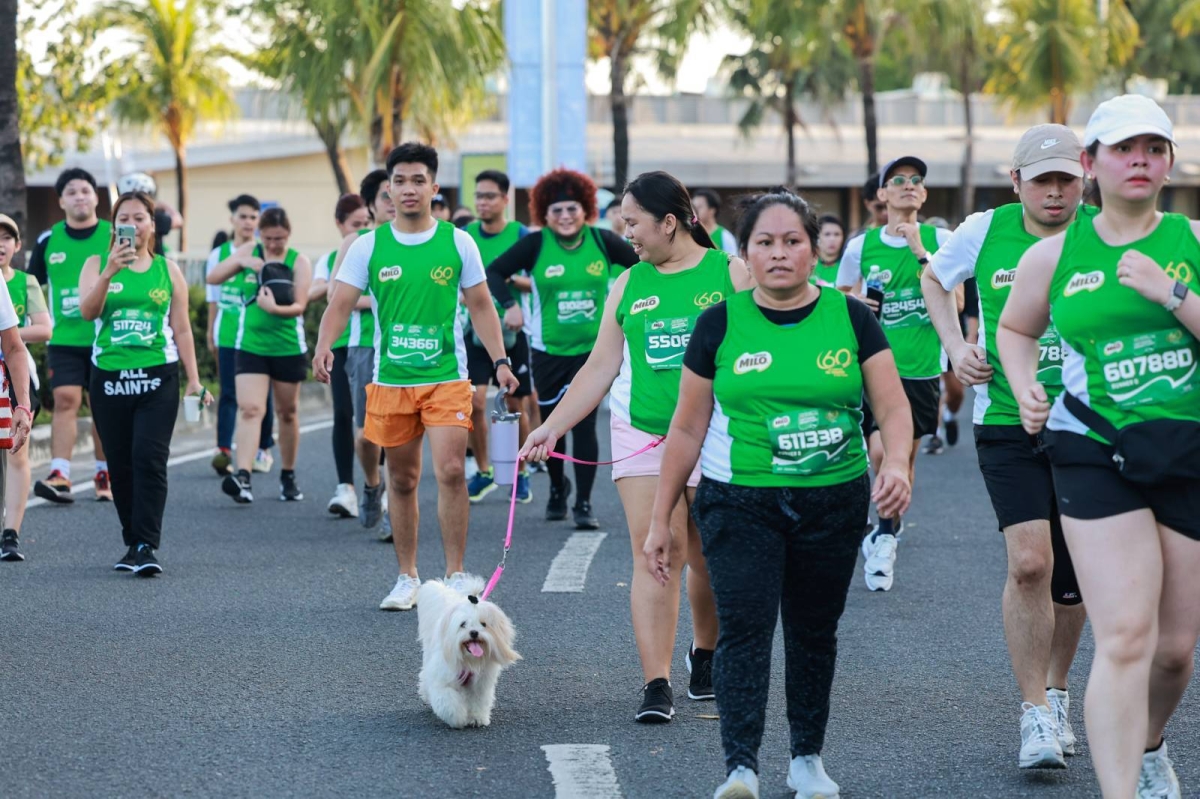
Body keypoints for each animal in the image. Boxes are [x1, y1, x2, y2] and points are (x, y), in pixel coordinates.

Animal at [417, 573, 520, 729]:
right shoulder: (443, 681)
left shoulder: (481, 684)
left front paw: (477, 718)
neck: (469, 660)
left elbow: (478, 701)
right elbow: (448, 701)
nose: (474, 632)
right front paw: (458, 718)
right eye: (463, 624)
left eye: (483, 624)